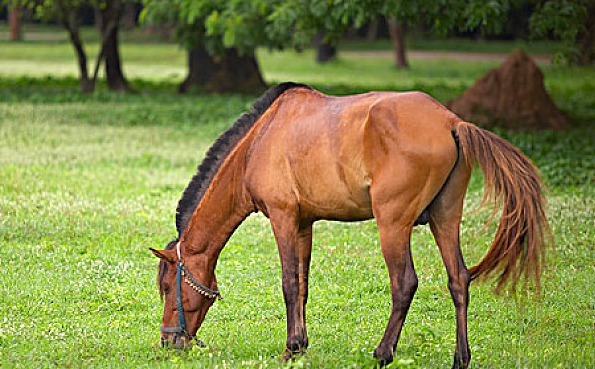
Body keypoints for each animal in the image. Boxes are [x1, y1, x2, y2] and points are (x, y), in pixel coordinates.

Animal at [152, 82, 548, 366]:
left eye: (169, 286)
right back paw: (460, 358)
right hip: (445, 218)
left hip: (392, 224)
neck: (260, 140)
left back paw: (383, 353)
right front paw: (301, 345)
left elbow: (288, 284)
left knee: (404, 283)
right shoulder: (304, 224)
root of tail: (452, 122)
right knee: (459, 280)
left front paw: (290, 348)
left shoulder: (282, 218)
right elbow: (303, 285)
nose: (168, 340)